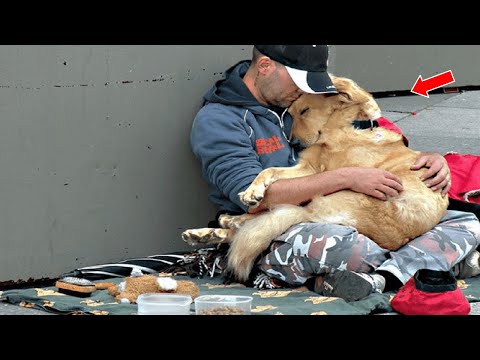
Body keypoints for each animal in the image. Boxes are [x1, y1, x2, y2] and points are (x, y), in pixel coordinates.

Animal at [184, 75, 450, 282]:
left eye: (305, 110)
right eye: (290, 113)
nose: (293, 143)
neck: (346, 126)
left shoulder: (319, 172)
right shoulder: (308, 168)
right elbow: (268, 172)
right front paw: (253, 190)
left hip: (326, 202)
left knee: (259, 224)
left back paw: (222, 225)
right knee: (257, 225)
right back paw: (209, 231)